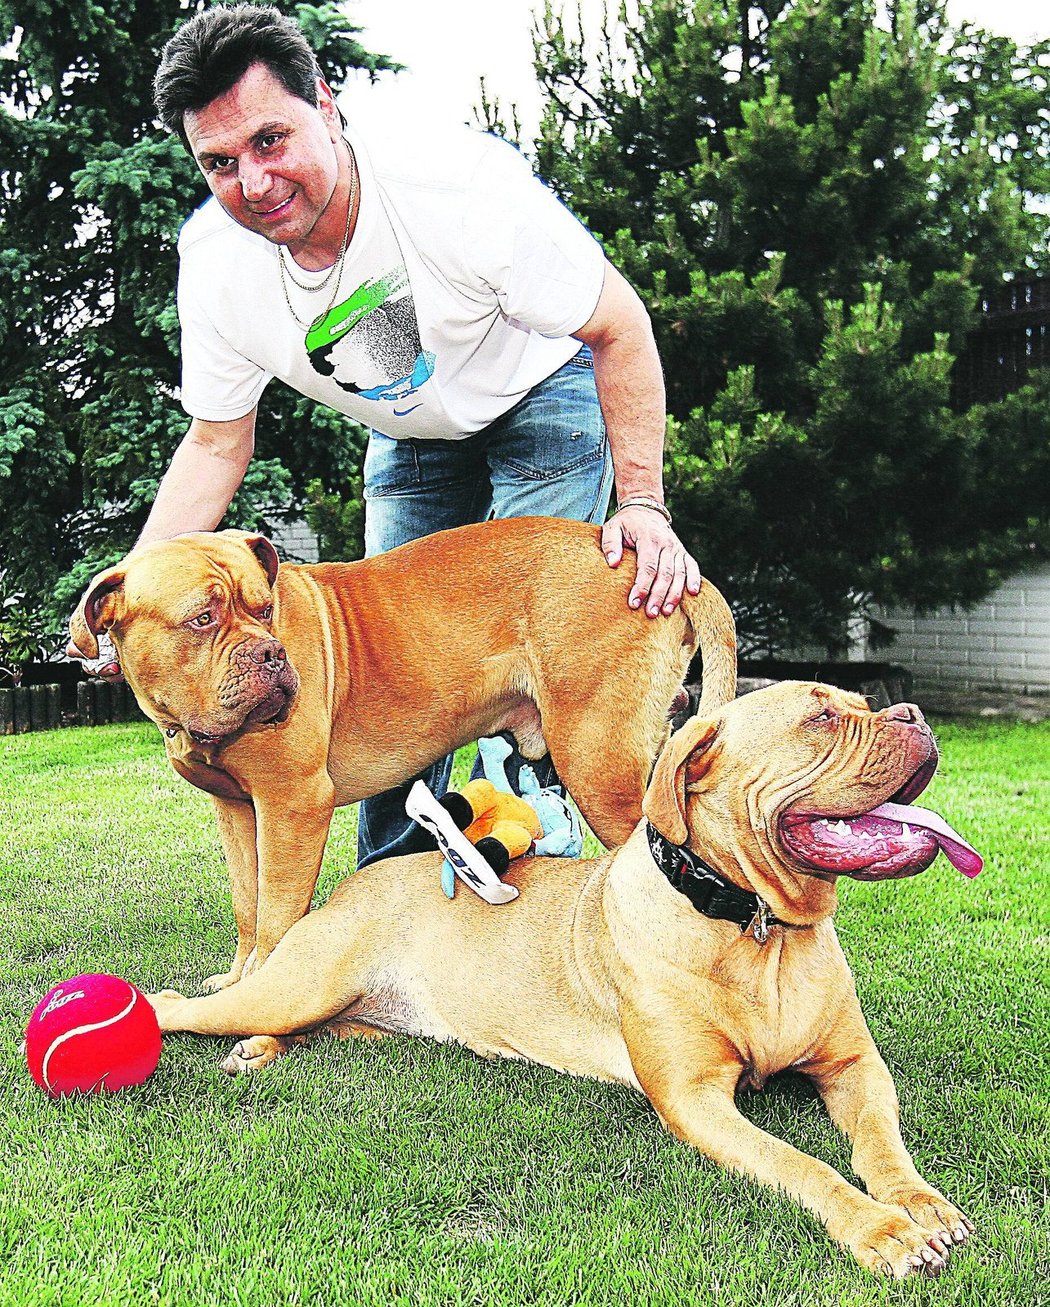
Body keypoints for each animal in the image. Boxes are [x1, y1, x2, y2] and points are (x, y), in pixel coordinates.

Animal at [69, 514, 737, 982]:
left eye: (265, 610)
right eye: (203, 619)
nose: (273, 654)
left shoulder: (291, 805)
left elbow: (277, 912)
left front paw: (261, 987)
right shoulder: (237, 812)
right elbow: (247, 904)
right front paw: (237, 979)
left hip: (599, 763)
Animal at [151, 684, 983, 1275]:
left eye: (863, 705)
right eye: (822, 716)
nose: (913, 713)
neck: (756, 927)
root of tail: (366, 877)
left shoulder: (854, 1065)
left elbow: (881, 1141)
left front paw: (920, 1203)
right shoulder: (695, 1100)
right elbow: (800, 1162)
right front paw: (880, 1228)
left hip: (351, 1010)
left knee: (306, 1028)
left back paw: (263, 1049)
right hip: (296, 982)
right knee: (183, 1004)